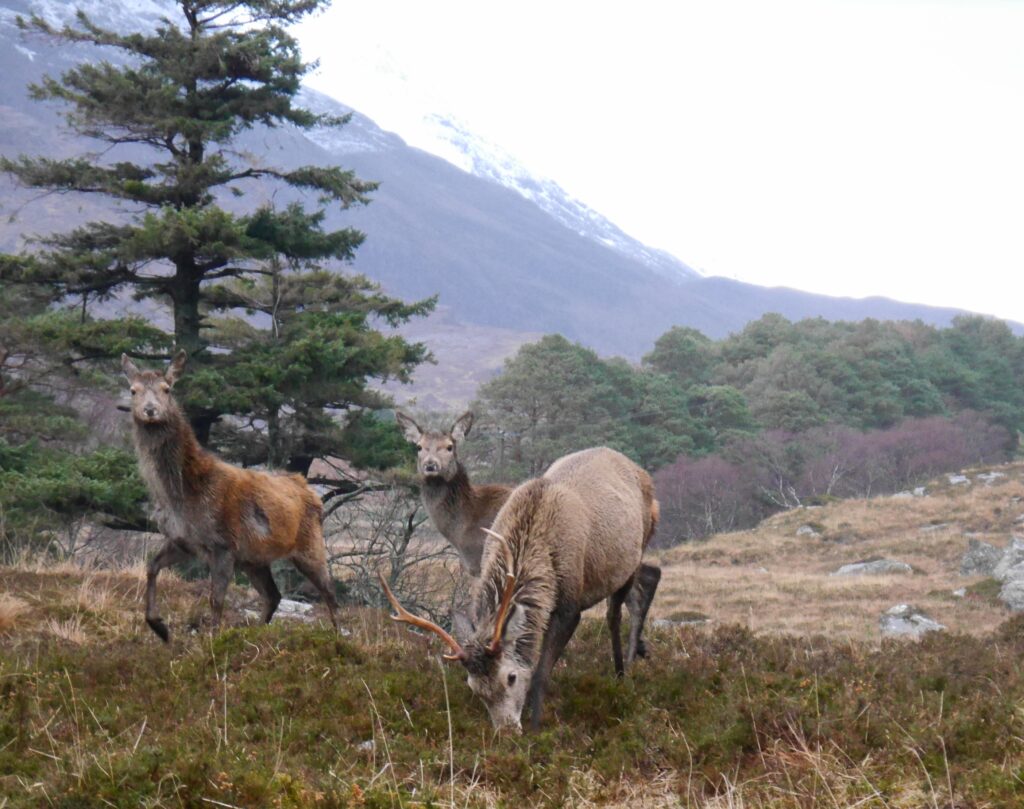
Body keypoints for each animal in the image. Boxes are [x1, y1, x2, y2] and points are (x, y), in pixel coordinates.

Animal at [121, 350, 340, 642]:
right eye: (133, 390)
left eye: (166, 389)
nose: (150, 410)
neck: (181, 495)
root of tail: (310, 490)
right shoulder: (183, 541)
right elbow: (151, 566)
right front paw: (160, 627)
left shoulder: (223, 544)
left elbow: (216, 599)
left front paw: (213, 641)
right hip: (254, 558)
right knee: (273, 595)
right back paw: (255, 633)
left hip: (309, 545)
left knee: (330, 593)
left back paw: (339, 637)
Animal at [380, 446, 660, 732]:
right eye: (474, 688)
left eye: (511, 677)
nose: (506, 732)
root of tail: (636, 468)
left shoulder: (570, 606)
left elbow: (540, 672)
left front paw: (536, 725)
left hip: (634, 556)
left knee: (616, 613)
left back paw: (622, 672)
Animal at [395, 411, 661, 657]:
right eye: (419, 447)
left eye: (449, 447)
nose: (431, 465)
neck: (464, 526)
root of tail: (656, 505)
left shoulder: (482, 565)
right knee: (647, 577)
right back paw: (640, 650)